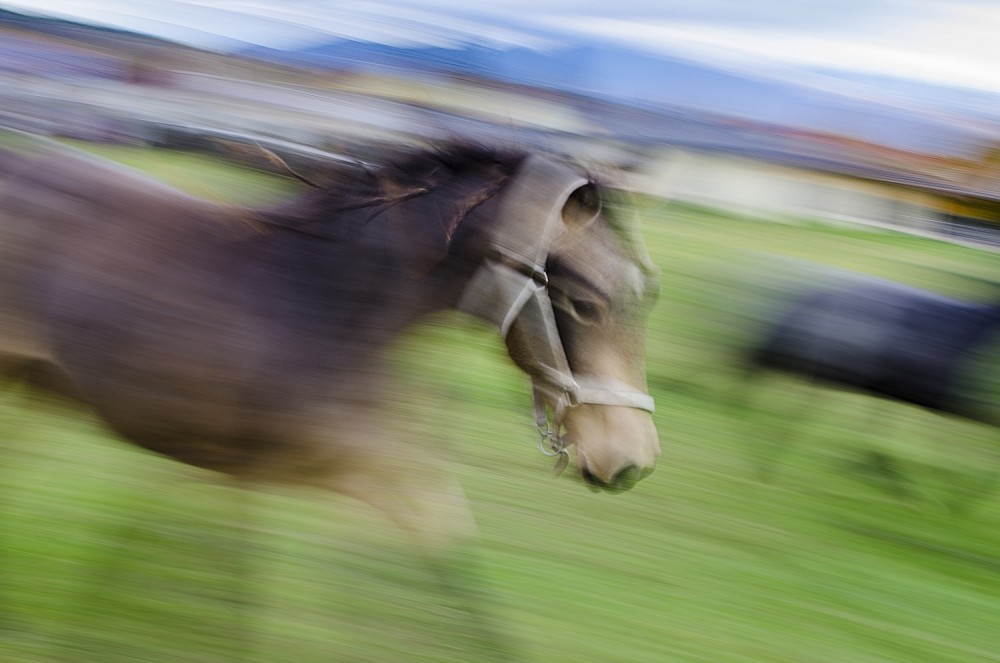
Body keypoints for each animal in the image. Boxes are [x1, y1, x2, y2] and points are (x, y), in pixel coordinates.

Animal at [0, 131, 664, 548]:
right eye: (585, 304)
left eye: (647, 297)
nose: (632, 463)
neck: (332, 304)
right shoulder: (314, 469)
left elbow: (440, 534)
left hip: (38, 383)